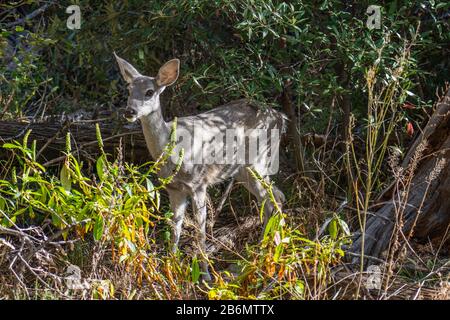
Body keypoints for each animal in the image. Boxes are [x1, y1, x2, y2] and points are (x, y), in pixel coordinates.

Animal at [113, 53, 284, 282]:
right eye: (130, 89)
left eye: (149, 92)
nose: (129, 111)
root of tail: (281, 118)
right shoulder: (174, 189)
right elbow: (175, 227)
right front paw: (170, 266)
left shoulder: (199, 183)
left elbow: (200, 230)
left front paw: (205, 275)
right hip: (243, 171)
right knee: (272, 198)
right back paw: (263, 249)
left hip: (259, 161)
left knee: (274, 198)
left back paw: (269, 251)